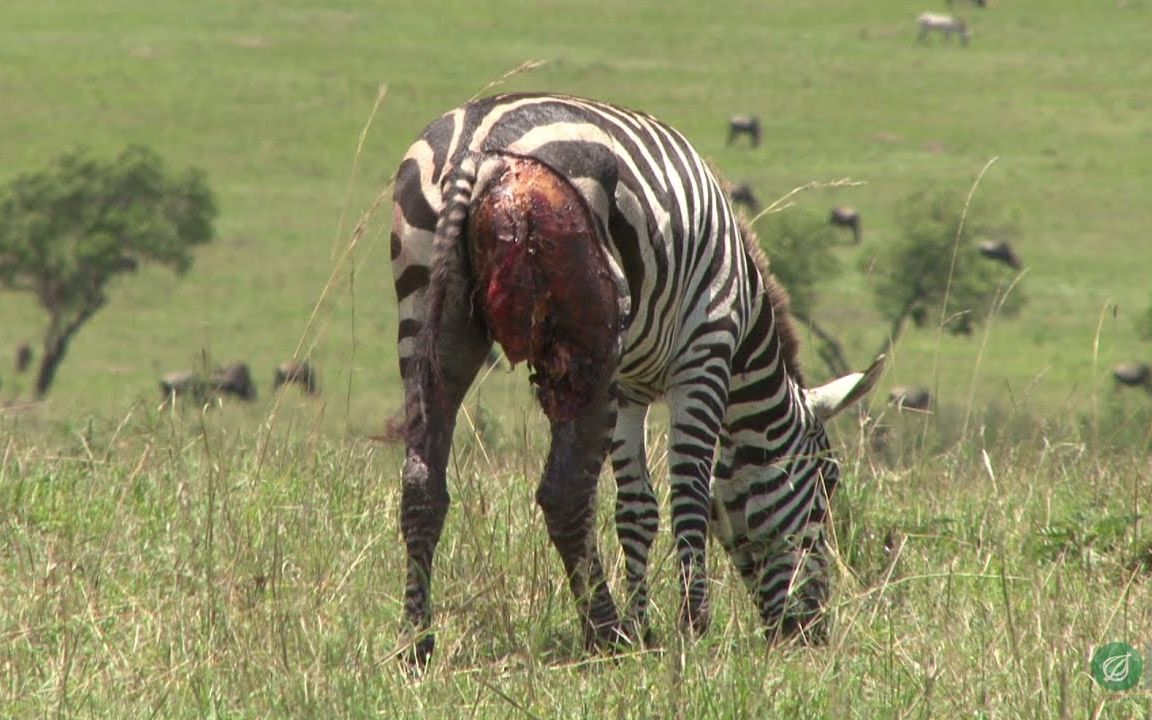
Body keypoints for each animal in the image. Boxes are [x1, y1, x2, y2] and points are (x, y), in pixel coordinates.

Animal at [387, 92, 880, 663]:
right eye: (829, 481)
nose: (811, 633)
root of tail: (476, 141)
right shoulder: (704, 356)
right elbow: (688, 496)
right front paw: (692, 629)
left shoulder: (628, 389)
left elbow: (637, 509)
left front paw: (648, 629)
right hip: (588, 340)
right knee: (565, 492)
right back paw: (605, 633)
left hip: (427, 311)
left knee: (422, 484)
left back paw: (417, 642)